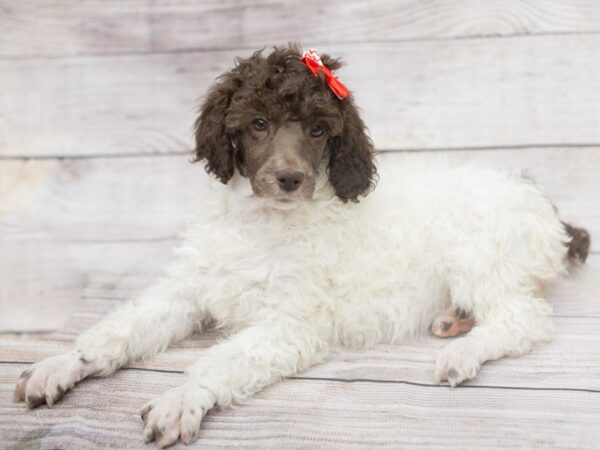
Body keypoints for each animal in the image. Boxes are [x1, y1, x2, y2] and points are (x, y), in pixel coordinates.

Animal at [14, 45, 592, 446]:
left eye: (318, 131)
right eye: (258, 123)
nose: (290, 179)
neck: (262, 222)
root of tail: (545, 208)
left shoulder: (290, 325)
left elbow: (222, 361)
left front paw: (181, 397)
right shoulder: (189, 288)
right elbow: (121, 328)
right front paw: (62, 363)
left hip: (478, 251)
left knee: (525, 318)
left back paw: (462, 350)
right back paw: (455, 321)